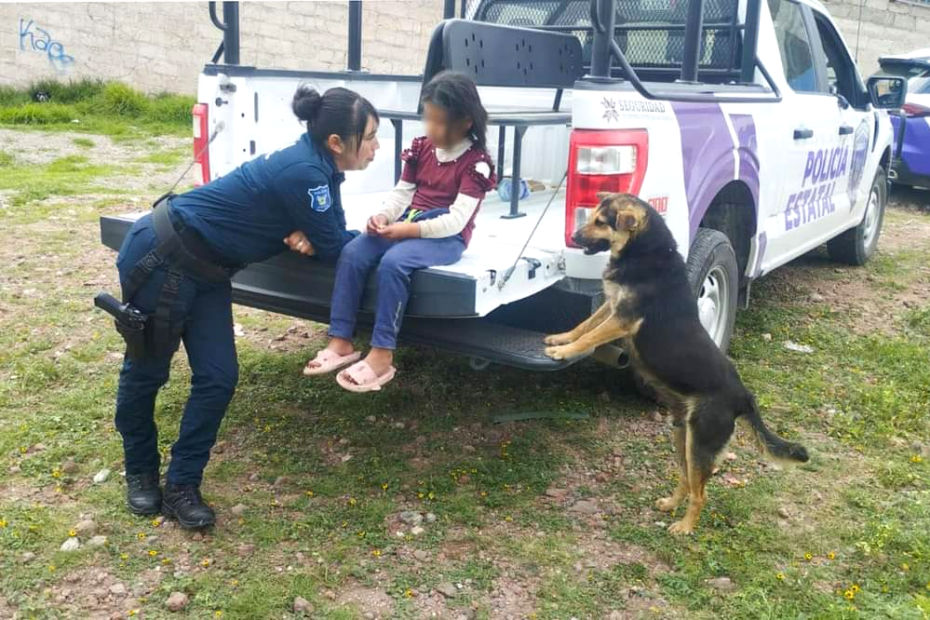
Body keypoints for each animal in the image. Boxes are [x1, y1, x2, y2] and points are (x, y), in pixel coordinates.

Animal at [544, 194, 804, 532]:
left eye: (601, 222)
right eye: (591, 218)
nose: (574, 238)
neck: (643, 251)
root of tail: (744, 396)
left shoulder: (623, 319)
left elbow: (590, 336)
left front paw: (564, 352)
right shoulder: (611, 306)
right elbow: (583, 326)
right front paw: (561, 339)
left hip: (701, 442)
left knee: (701, 493)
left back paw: (685, 527)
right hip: (683, 437)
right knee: (687, 480)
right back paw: (670, 505)